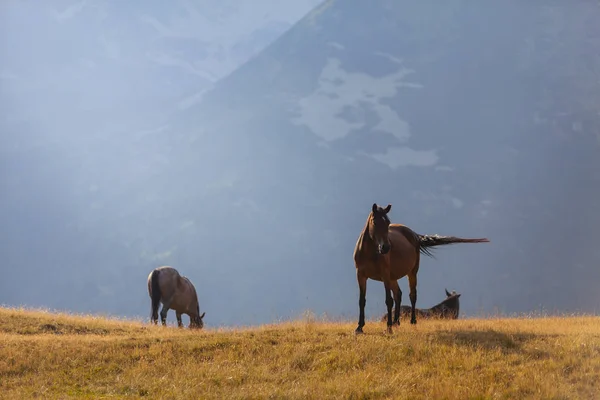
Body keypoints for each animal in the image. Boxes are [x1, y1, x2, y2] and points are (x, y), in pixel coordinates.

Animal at [352, 203, 488, 334]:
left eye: (388, 222)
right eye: (375, 222)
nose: (385, 248)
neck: (370, 252)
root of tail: (414, 235)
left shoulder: (385, 276)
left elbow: (388, 301)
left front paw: (388, 328)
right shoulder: (361, 275)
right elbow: (361, 300)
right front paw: (359, 327)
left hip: (411, 272)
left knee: (412, 295)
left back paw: (411, 321)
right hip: (393, 277)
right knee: (398, 294)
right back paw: (396, 322)